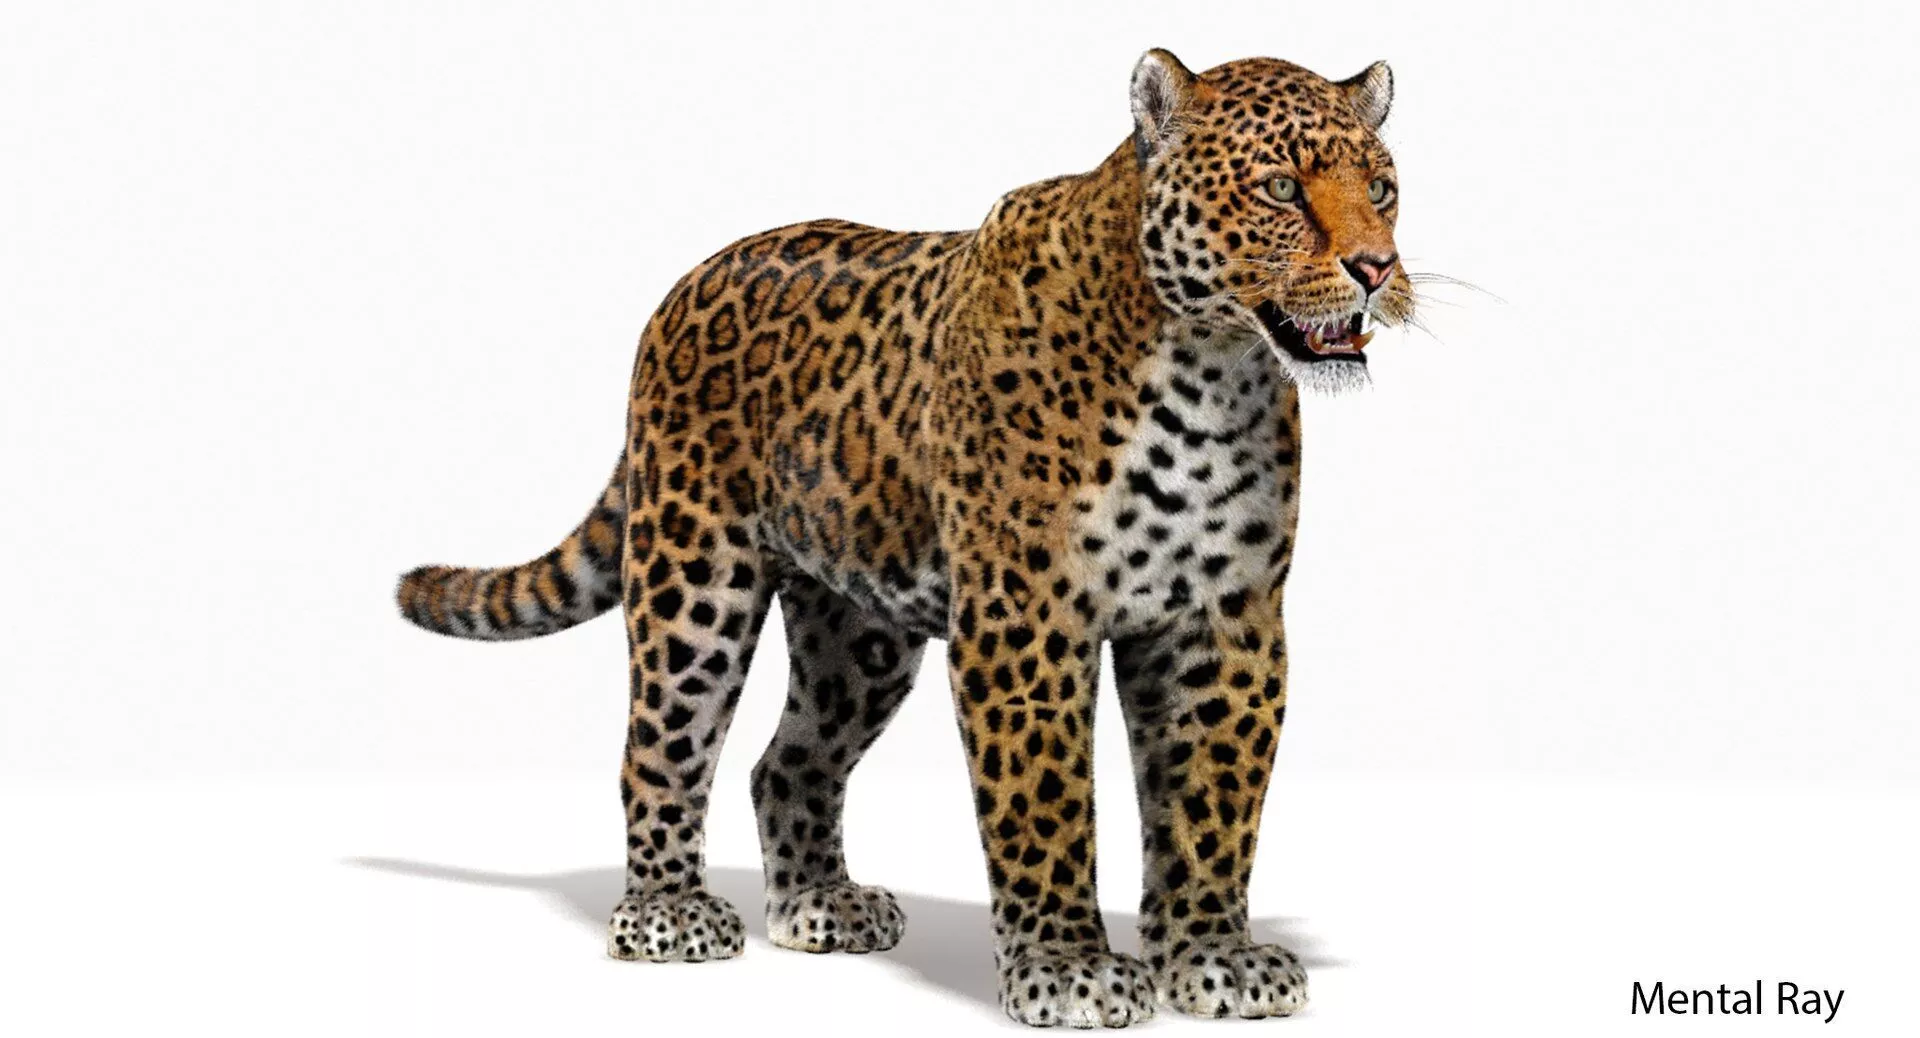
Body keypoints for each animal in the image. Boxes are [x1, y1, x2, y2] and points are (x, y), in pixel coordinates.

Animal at [396, 49, 1414, 1028]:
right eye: (1280, 188)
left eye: (1382, 187)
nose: (1376, 268)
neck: (1209, 371)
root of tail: (689, 284)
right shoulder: (1025, 622)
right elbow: (1045, 800)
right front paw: (1067, 969)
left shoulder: (1223, 620)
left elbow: (1212, 797)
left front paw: (1213, 956)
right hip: (694, 580)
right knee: (661, 746)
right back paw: (665, 912)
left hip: (861, 634)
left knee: (785, 764)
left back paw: (820, 906)